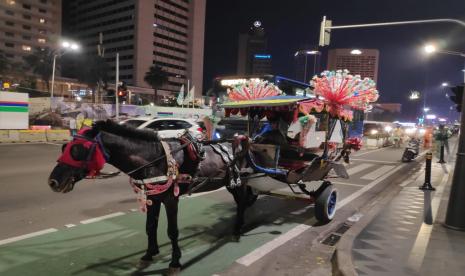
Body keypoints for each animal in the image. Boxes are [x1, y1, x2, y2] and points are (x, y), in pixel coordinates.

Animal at [49, 119, 256, 272]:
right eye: (65, 147)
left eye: (78, 150)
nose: (53, 182)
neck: (155, 159)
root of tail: (241, 141)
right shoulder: (153, 198)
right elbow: (150, 226)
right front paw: (149, 254)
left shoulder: (171, 199)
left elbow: (172, 231)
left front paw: (175, 261)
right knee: (242, 201)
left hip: (239, 182)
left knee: (240, 203)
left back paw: (237, 230)